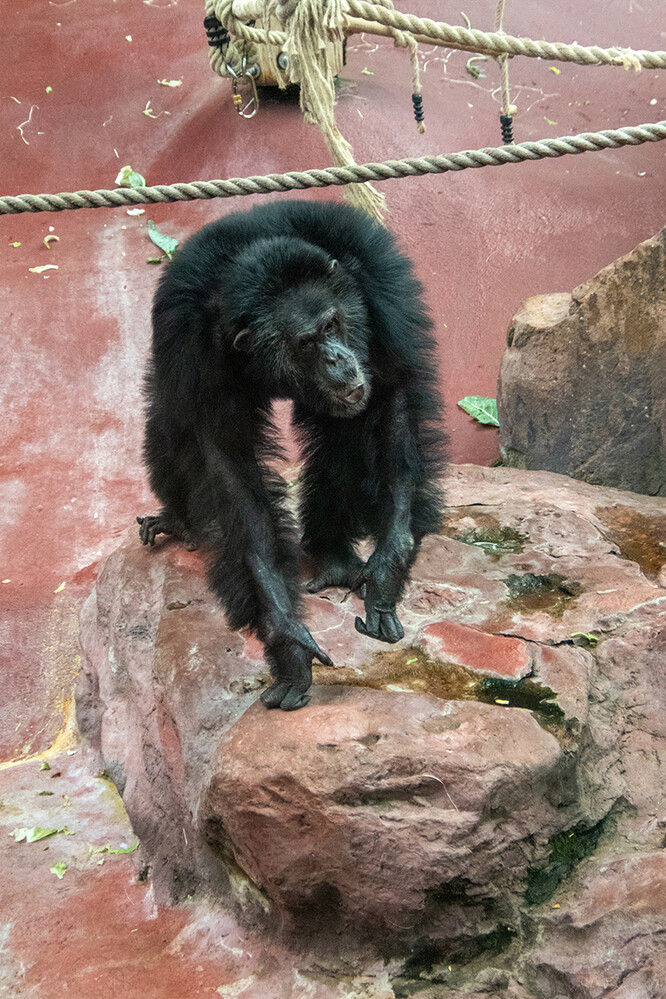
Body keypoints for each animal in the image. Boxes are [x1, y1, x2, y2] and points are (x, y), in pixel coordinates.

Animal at [136, 197, 446, 712]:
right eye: (306, 342)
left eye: (331, 324)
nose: (337, 357)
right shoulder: (190, 351)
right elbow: (232, 481)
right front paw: (287, 641)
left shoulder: (379, 284)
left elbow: (394, 391)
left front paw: (389, 566)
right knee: (167, 427)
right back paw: (177, 519)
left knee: (346, 429)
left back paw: (333, 553)